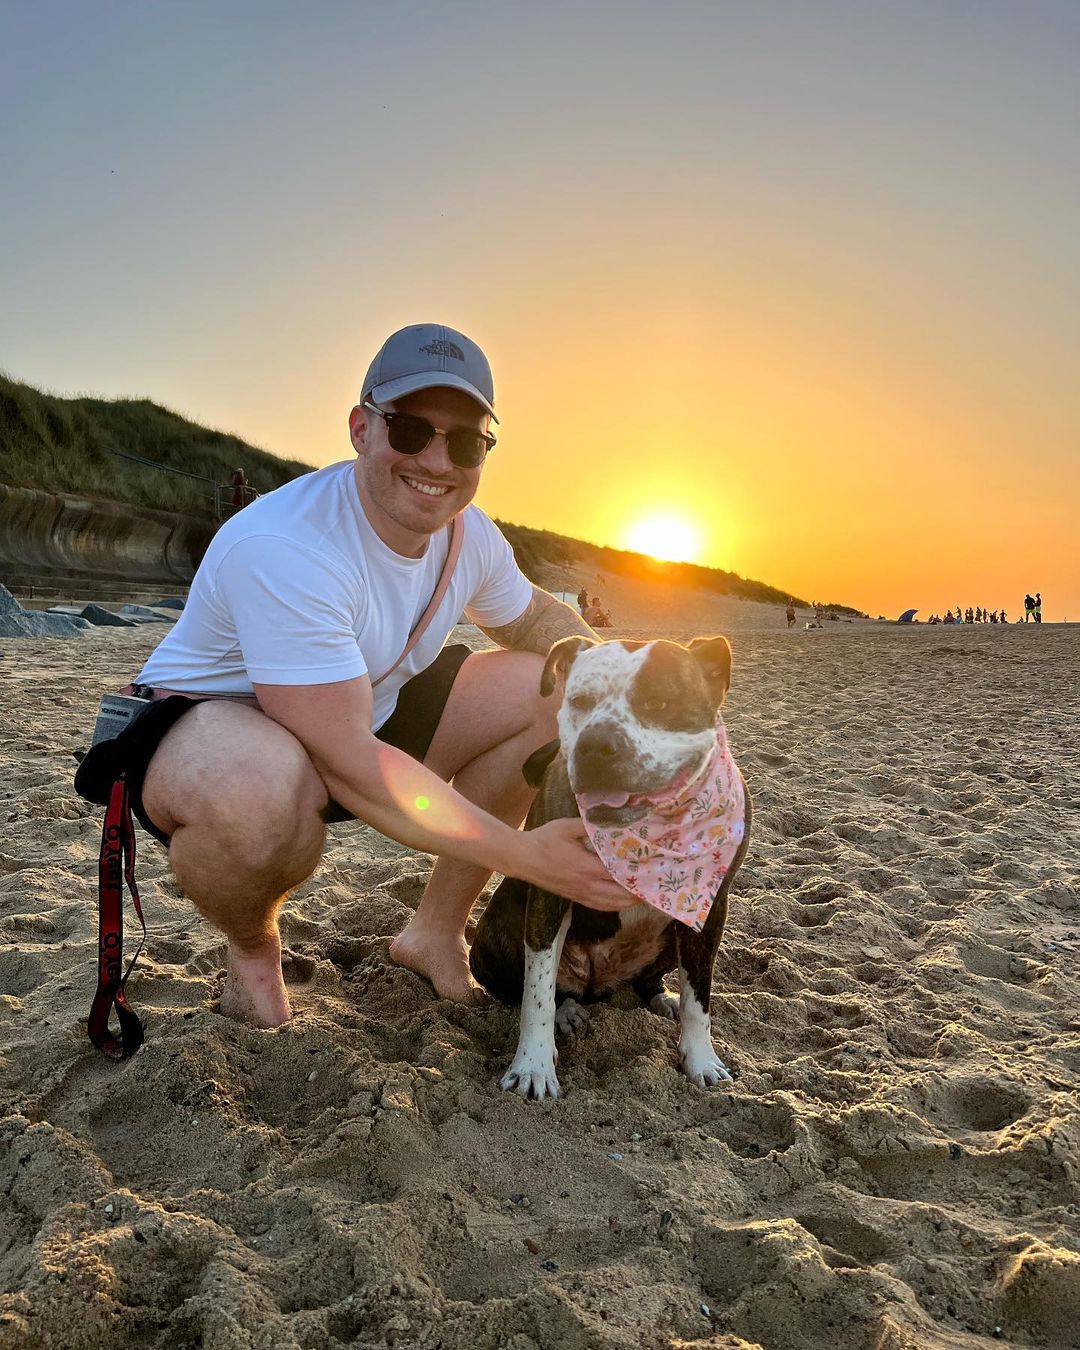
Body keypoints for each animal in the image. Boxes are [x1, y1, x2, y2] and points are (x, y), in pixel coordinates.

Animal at [469, 634, 752, 1099]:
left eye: (658, 702)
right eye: (579, 700)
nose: (596, 744)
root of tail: (597, 986)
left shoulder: (709, 908)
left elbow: (699, 996)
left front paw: (702, 1060)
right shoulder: (548, 896)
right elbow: (536, 994)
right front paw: (532, 1066)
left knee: (653, 981)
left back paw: (661, 997)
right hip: (494, 935)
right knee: (539, 989)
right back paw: (567, 1011)